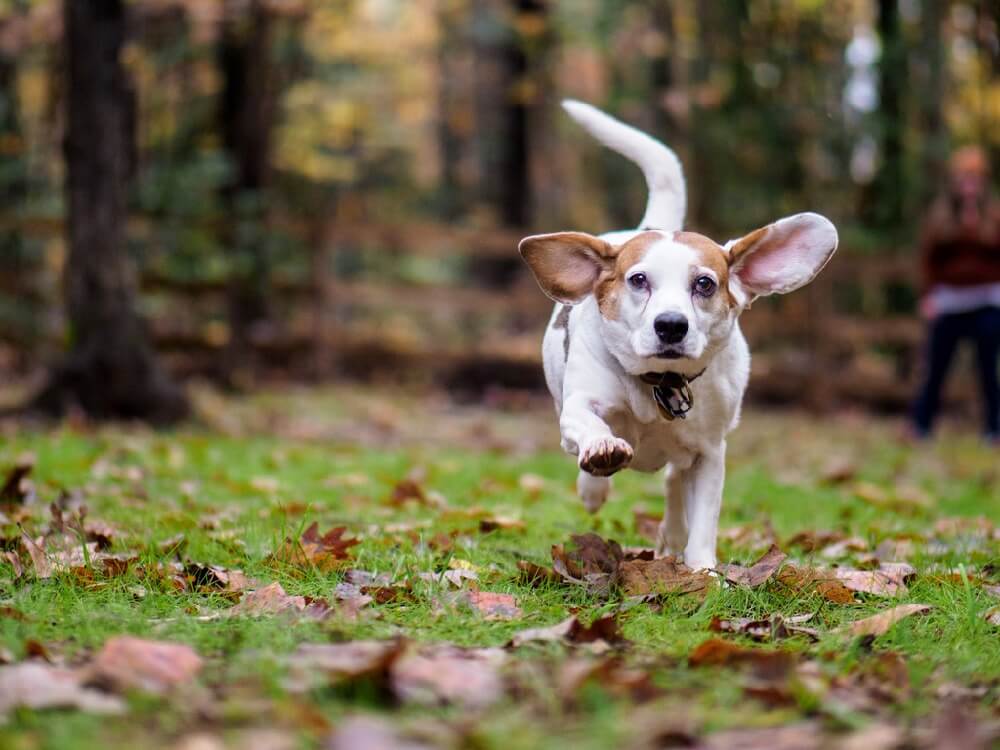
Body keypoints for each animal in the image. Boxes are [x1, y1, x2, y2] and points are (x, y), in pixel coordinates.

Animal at [516, 100, 836, 568]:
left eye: (704, 283)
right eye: (638, 279)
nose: (671, 324)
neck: (657, 384)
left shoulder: (710, 453)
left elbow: (703, 519)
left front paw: (703, 570)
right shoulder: (578, 405)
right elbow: (589, 423)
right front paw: (601, 453)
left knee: (673, 483)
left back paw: (671, 531)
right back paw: (595, 484)